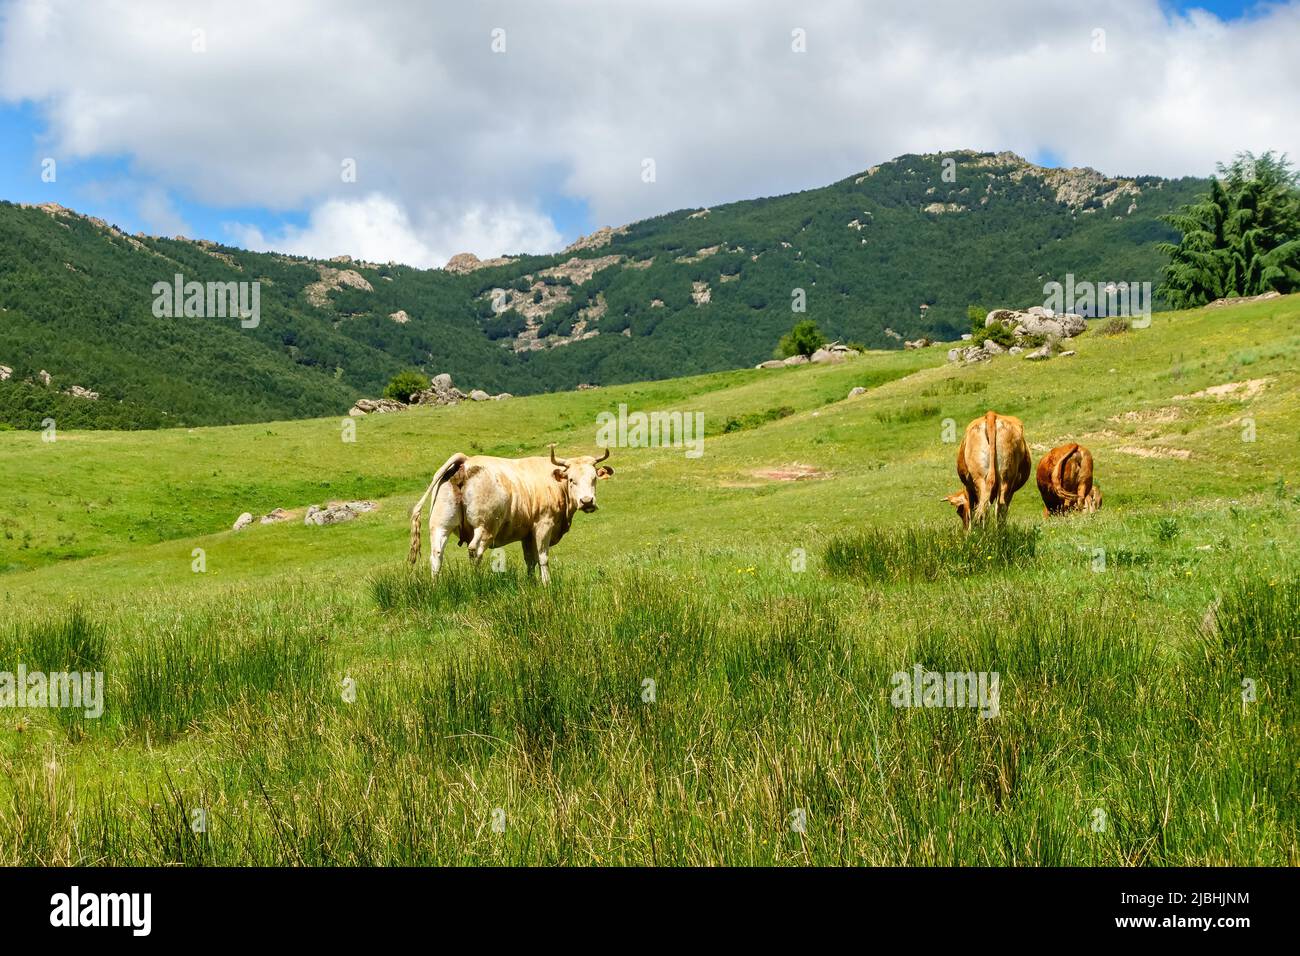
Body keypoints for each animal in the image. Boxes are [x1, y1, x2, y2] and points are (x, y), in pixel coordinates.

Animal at [408, 444, 612, 584]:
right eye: (571, 480)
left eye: (594, 478)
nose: (587, 501)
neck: (555, 482)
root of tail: (465, 460)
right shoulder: (543, 524)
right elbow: (543, 557)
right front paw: (547, 583)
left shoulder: (527, 533)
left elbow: (530, 559)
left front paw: (531, 583)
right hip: (485, 527)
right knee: (475, 551)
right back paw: (476, 582)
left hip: (440, 525)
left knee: (437, 554)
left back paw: (436, 586)